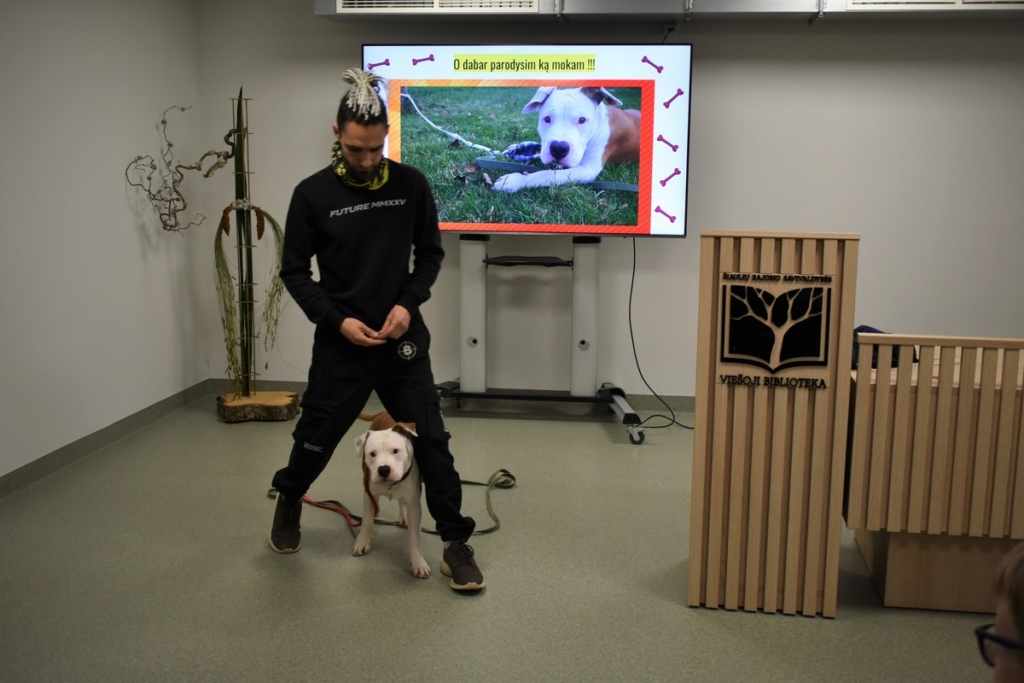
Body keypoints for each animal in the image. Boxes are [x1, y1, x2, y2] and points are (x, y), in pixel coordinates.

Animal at [352, 410, 430, 579]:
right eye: (372, 454)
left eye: (395, 451)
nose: (383, 469)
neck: (390, 486)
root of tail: (382, 412)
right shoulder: (368, 495)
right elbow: (366, 522)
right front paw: (363, 542)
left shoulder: (414, 505)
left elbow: (415, 538)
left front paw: (418, 563)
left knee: (402, 502)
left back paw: (404, 517)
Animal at [492, 86, 641, 193]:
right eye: (547, 119)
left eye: (582, 120)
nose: (558, 148)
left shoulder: (588, 169)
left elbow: (548, 174)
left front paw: (515, 181)